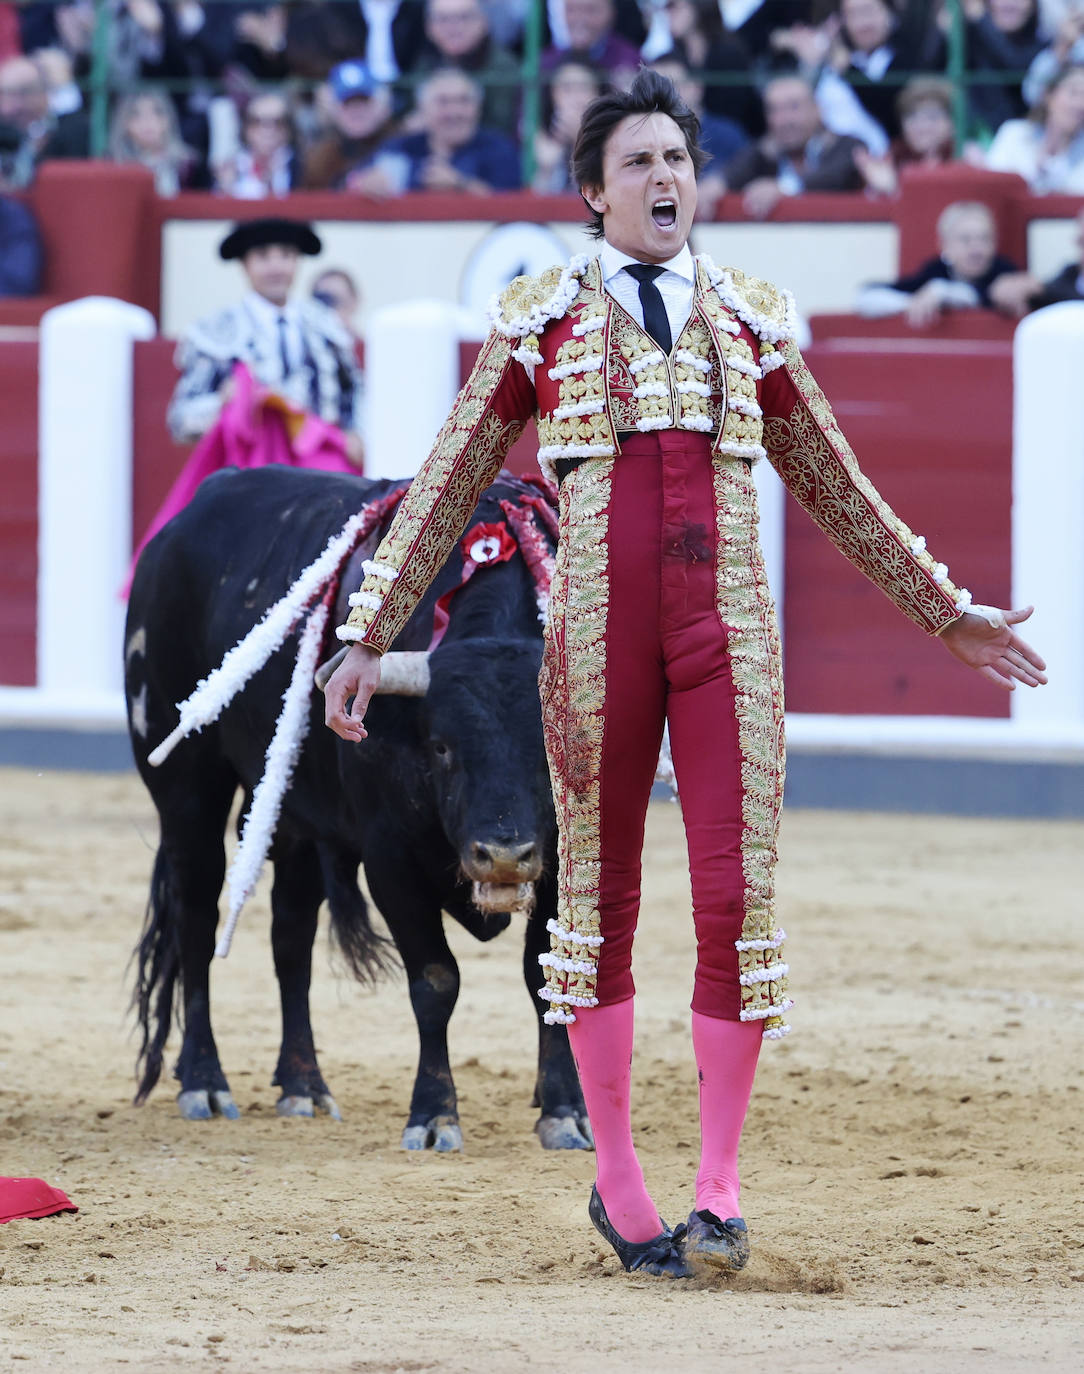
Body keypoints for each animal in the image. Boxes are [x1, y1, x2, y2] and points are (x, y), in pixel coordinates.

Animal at [127, 467, 590, 1154]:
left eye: (550, 751)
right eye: (441, 745)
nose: (504, 857)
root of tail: (179, 525)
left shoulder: (557, 860)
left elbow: (545, 977)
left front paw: (564, 1112)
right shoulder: (390, 860)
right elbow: (435, 980)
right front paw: (433, 1116)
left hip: (294, 820)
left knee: (290, 937)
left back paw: (303, 1086)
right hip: (188, 793)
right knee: (197, 920)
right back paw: (206, 1084)